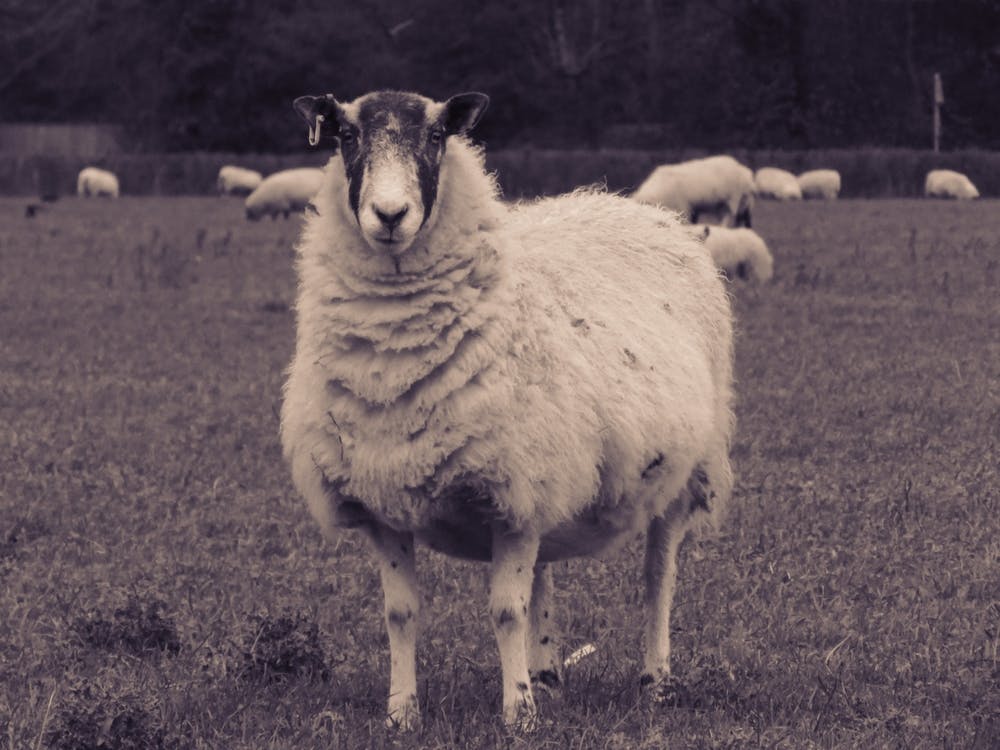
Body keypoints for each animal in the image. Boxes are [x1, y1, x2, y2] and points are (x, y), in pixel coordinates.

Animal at [280, 89, 735, 731]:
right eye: (345, 136)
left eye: (438, 136)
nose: (390, 215)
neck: (394, 360)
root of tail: (631, 207)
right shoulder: (387, 501)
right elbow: (401, 614)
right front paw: (402, 713)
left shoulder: (511, 492)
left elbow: (505, 612)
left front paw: (517, 712)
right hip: (544, 475)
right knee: (545, 572)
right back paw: (546, 675)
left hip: (684, 470)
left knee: (657, 578)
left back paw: (654, 681)